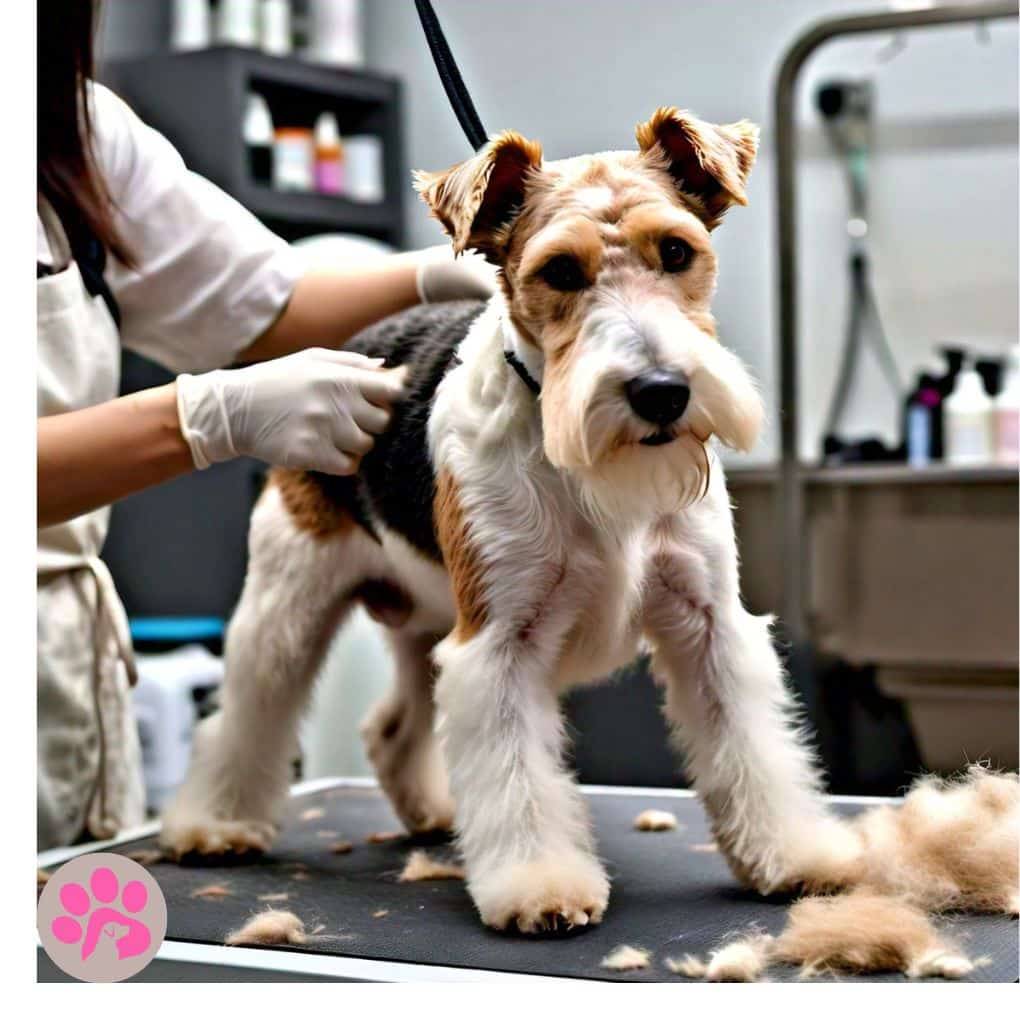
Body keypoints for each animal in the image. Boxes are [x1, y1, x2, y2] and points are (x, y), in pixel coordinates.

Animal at [161, 109, 869, 934]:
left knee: (391, 731)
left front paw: (794, 855)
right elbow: (518, 781)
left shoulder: (708, 622)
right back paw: (214, 825)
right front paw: (540, 888)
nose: (661, 392)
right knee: (246, 717)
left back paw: (433, 813)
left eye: (677, 251)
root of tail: (358, 347)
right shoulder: (501, 641)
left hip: (427, 624)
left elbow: (751, 748)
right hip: (287, 605)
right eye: (560, 271)